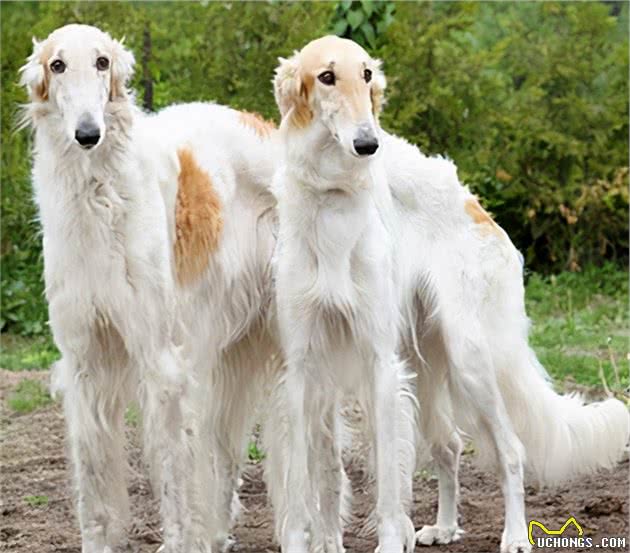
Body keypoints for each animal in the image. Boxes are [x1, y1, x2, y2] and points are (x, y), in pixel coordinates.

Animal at [272, 34, 630, 552]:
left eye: (367, 75)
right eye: (325, 76)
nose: (368, 144)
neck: (333, 199)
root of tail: (476, 205)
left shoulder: (380, 363)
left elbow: (389, 484)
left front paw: (389, 541)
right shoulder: (304, 367)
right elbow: (310, 481)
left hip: (470, 356)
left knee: (511, 450)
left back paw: (514, 535)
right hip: (425, 360)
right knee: (450, 444)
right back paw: (443, 526)